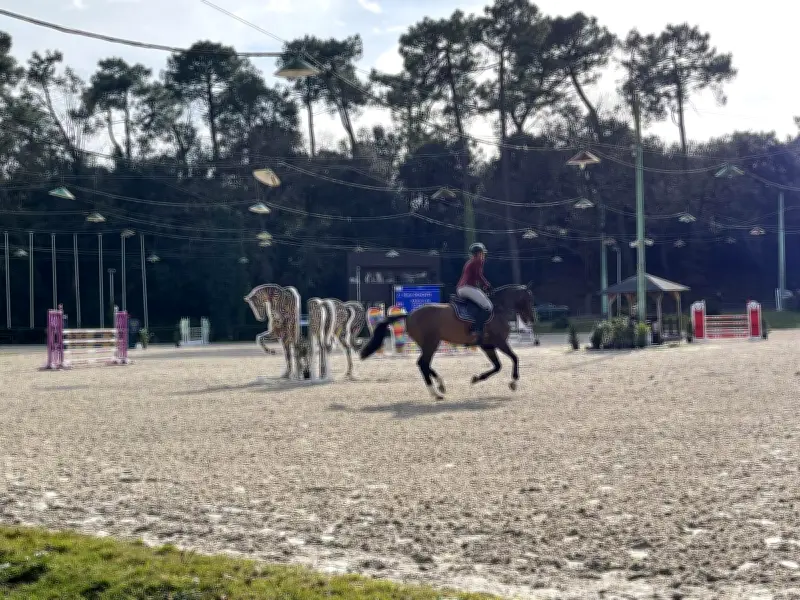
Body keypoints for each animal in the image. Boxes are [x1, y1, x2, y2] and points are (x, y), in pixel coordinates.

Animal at [360, 284, 536, 400]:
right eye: (528, 300)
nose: (531, 319)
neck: (499, 309)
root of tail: (409, 314)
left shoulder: (487, 346)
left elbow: (497, 366)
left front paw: (477, 378)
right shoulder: (499, 342)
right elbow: (514, 358)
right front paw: (513, 382)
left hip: (429, 344)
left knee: (423, 364)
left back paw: (440, 385)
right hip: (431, 343)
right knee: (423, 363)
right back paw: (435, 393)